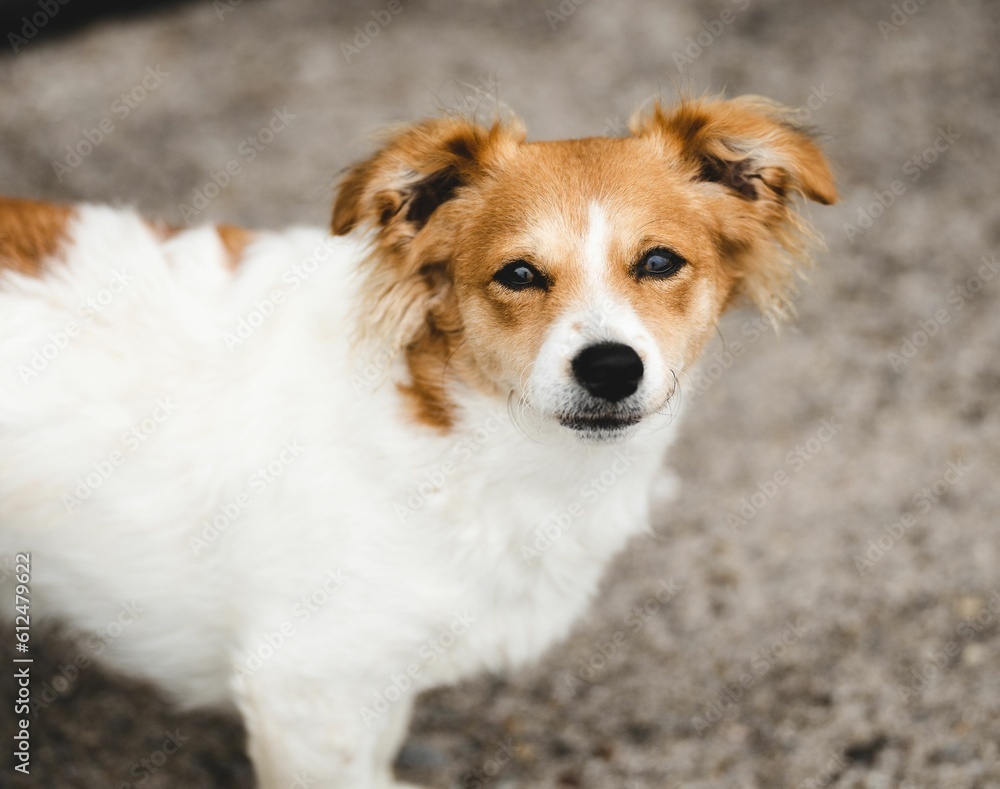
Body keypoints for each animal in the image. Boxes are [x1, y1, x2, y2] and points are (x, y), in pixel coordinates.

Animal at [0, 97, 836, 788]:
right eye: (518, 274)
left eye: (660, 262)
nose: (609, 368)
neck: (465, 440)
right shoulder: (305, 686)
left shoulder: (369, 677)